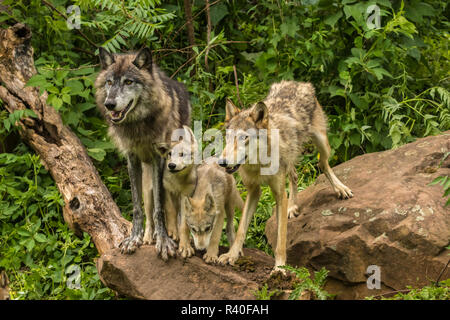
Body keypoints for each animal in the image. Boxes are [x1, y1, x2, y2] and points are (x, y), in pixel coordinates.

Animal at [96, 47, 191, 260]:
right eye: (109, 82)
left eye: (128, 82)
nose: (109, 104)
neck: (137, 125)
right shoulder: (131, 159)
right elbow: (137, 207)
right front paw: (135, 239)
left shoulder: (160, 159)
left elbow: (160, 208)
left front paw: (164, 241)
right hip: (147, 183)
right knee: (148, 209)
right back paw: (148, 237)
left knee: (173, 209)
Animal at [217, 80, 352, 270]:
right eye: (228, 138)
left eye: (244, 138)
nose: (222, 162)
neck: (259, 164)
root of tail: (298, 83)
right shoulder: (254, 191)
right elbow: (241, 229)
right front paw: (232, 255)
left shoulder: (279, 194)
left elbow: (281, 238)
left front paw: (280, 268)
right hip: (291, 158)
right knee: (294, 176)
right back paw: (293, 206)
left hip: (322, 144)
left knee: (323, 164)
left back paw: (340, 189)